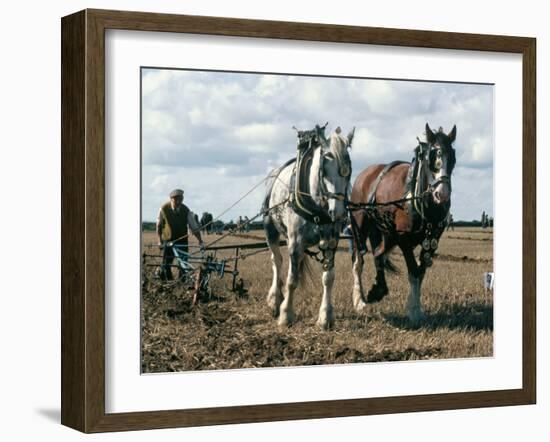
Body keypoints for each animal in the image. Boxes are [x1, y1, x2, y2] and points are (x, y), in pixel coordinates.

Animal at [354, 124, 458, 324]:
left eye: (453, 158)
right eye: (431, 157)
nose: (442, 194)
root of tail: (366, 173)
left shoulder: (431, 241)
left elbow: (420, 272)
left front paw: (413, 307)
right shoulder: (403, 240)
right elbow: (414, 272)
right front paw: (415, 311)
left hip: (387, 234)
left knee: (378, 254)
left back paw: (378, 289)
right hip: (360, 226)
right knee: (358, 261)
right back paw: (359, 300)